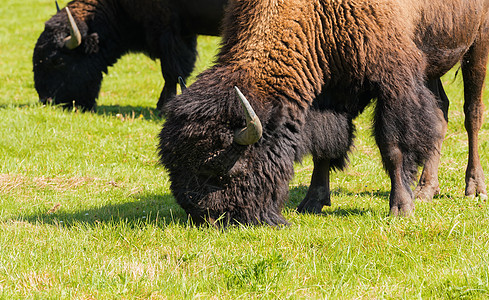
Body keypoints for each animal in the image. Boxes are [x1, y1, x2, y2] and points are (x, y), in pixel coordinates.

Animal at [32, 0, 227, 112]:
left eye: (58, 60)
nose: (46, 100)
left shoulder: (166, 30)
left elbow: (171, 72)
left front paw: (164, 107)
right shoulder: (184, 34)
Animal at [158, 0, 486, 226]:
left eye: (226, 171)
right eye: (174, 165)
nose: (204, 216)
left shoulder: (394, 81)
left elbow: (393, 147)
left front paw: (401, 208)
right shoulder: (327, 94)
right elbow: (324, 150)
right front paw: (312, 201)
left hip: (477, 45)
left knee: (472, 114)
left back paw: (474, 188)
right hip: (433, 63)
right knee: (440, 113)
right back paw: (426, 190)